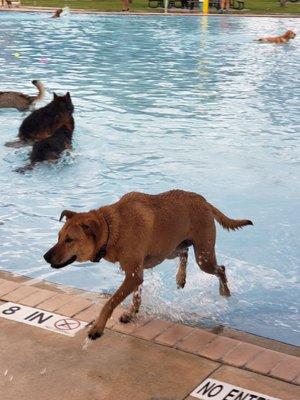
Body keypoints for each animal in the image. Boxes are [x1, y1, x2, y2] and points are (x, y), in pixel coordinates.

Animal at [42, 189, 253, 340]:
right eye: (59, 237)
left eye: (69, 240)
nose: (45, 256)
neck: (113, 228)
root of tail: (204, 201)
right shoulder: (136, 271)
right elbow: (136, 296)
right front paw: (132, 312)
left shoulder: (133, 274)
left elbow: (110, 303)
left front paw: (98, 327)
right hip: (170, 248)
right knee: (184, 253)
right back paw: (181, 278)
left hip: (204, 257)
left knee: (220, 269)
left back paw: (225, 292)